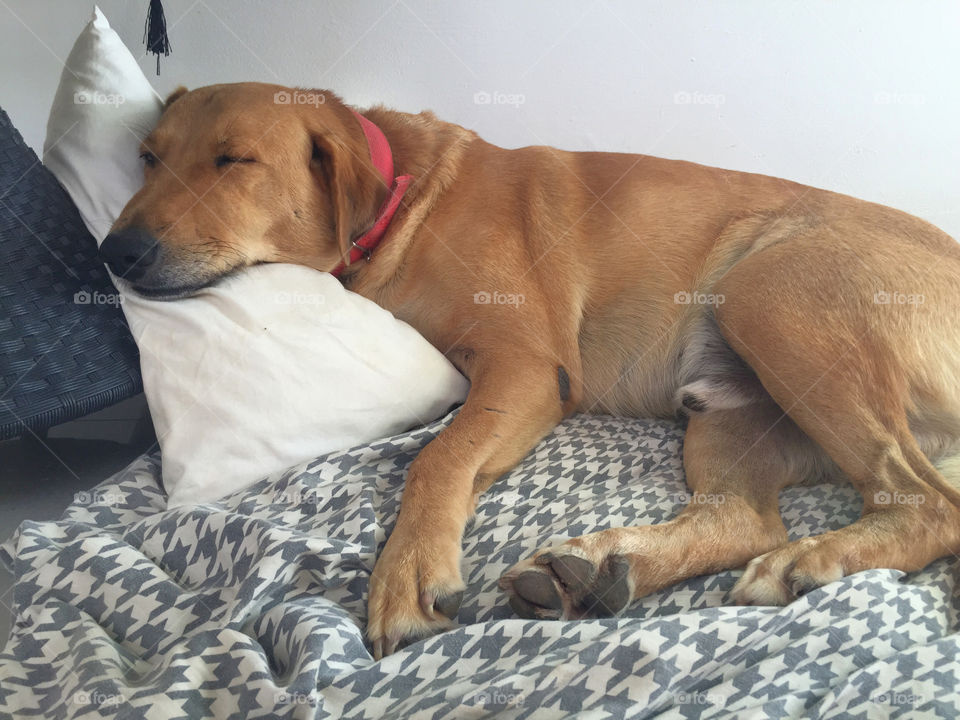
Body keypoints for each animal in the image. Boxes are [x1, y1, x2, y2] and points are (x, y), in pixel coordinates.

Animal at [103, 83, 960, 660]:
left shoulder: (524, 366)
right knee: (745, 520)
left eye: (232, 161)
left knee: (929, 503)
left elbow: (437, 455)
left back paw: (814, 561)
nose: (115, 253)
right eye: (146, 158)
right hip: (729, 408)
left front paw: (407, 569)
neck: (400, 199)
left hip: (771, 298)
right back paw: (604, 568)